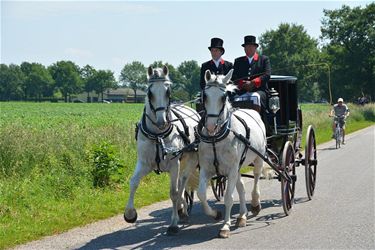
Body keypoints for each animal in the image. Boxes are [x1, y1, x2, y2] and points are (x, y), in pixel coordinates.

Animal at [123, 65, 201, 235]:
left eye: (168, 92)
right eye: (149, 92)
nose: (161, 122)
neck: (158, 135)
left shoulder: (174, 165)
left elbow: (173, 192)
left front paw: (173, 224)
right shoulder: (144, 163)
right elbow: (133, 183)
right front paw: (130, 214)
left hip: (190, 160)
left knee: (183, 181)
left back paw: (181, 210)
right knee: (181, 185)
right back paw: (182, 209)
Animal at [197, 69, 268, 238]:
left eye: (223, 97)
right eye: (205, 96)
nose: (210, 126)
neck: (216, 138)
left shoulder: (231, 169)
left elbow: (229, 198)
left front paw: (225, 226)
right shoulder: (207, 169)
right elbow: (201, 194)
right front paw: (215, 214)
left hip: (258, 158)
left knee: (256, 177)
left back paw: (255, 204)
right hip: (238, 166)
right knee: (241, 186)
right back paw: (242, 216)